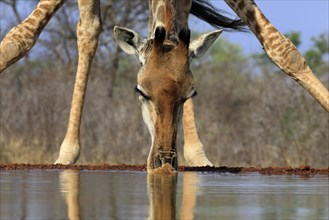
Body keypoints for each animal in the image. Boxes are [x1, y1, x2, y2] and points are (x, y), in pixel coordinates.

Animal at [0, 0, 328, 170]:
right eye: (140, 92)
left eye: (191, 94)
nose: (163, 161)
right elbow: (19, 39)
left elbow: (282, 49)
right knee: (87, 31)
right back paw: (66, 153)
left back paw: (197, 155)